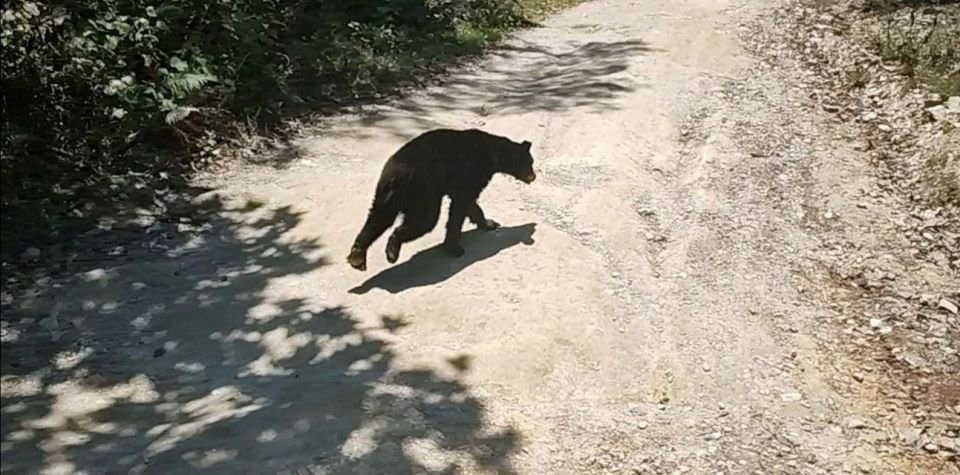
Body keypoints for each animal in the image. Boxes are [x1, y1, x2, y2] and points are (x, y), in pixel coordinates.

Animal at [346, 128, 540, 272]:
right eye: (529, 162)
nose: (534, 176)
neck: (492, 155)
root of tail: (395, 178)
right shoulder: (470, 172)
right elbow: (461, 205)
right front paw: (454, 247)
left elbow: (470, 204)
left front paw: (489, 223)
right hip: (423, 192)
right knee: (425, 220)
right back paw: (392, 248)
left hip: (386, 195)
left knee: (378, 218)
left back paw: (357, 255)